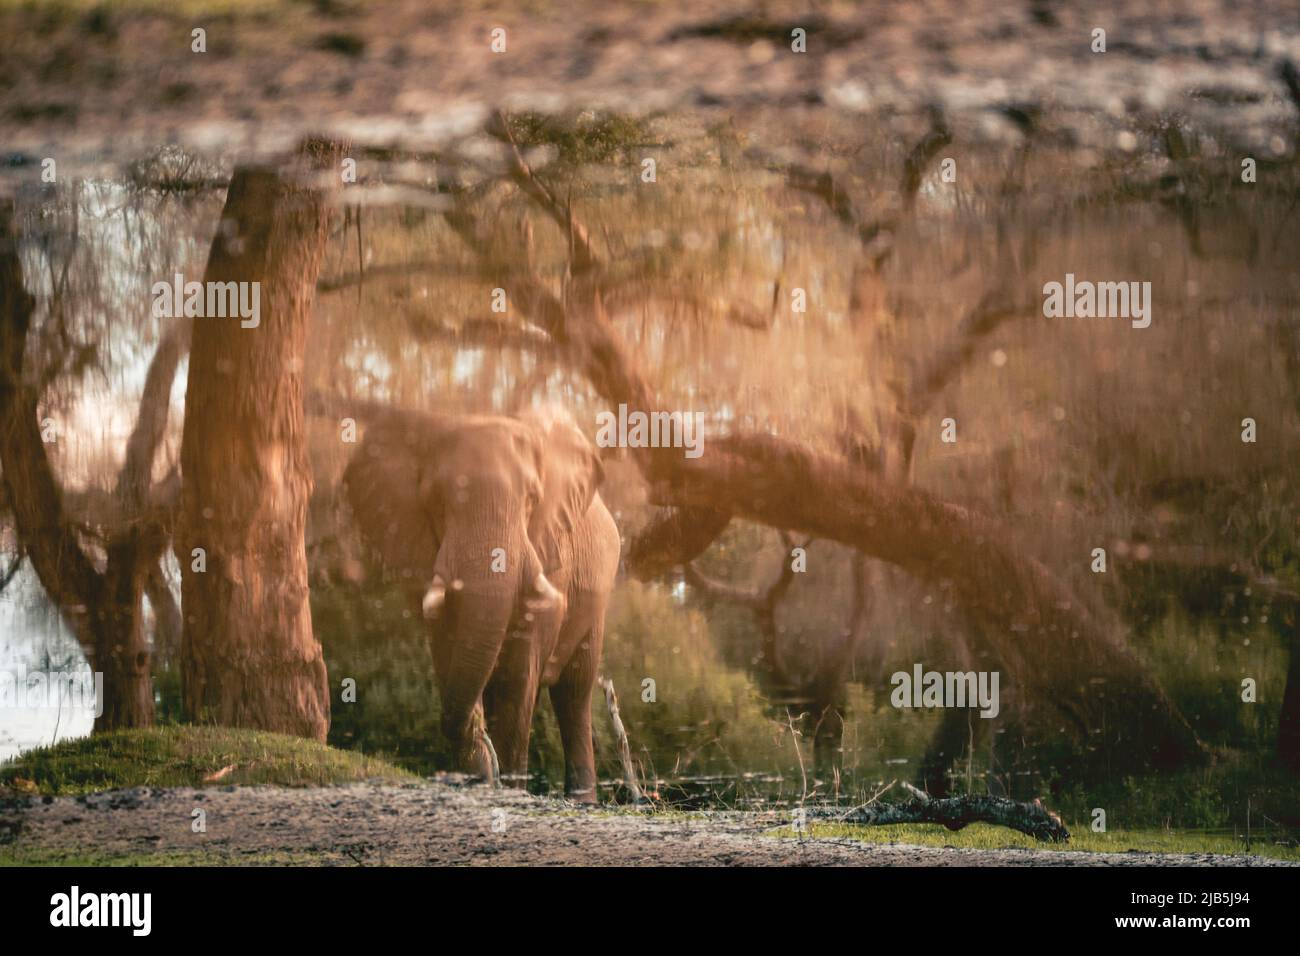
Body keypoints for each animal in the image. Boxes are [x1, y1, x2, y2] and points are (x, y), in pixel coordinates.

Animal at [343, 408, 621, 806]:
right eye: (437, 501)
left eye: (532, 500)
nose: (484, 749)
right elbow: (450, 649)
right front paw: (479, 778)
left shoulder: (550, 545)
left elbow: (520, 671)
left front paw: (506, 789)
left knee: (574, 694)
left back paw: (581, 802)